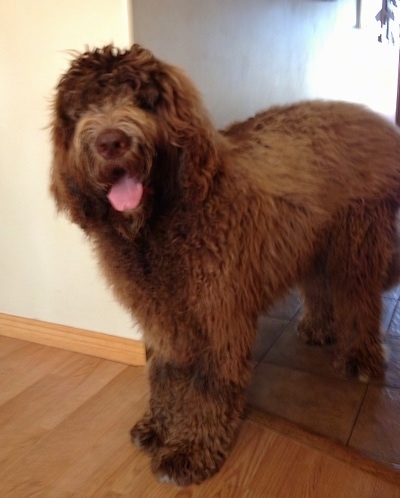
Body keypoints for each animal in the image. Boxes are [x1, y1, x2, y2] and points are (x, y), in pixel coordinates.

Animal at [50, 44, 400, 484]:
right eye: (82, 108)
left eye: (144, 100)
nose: (111, 142)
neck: (163, 220)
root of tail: (373, 119)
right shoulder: (162, 314)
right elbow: (165, 372)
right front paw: (160, 426)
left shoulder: (218, 315)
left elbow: (208, 383)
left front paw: (191, 449)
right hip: (313, 241)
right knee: (319, 286)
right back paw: (318, 328)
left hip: (358, 239)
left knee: (360, 300)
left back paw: (361, 358)